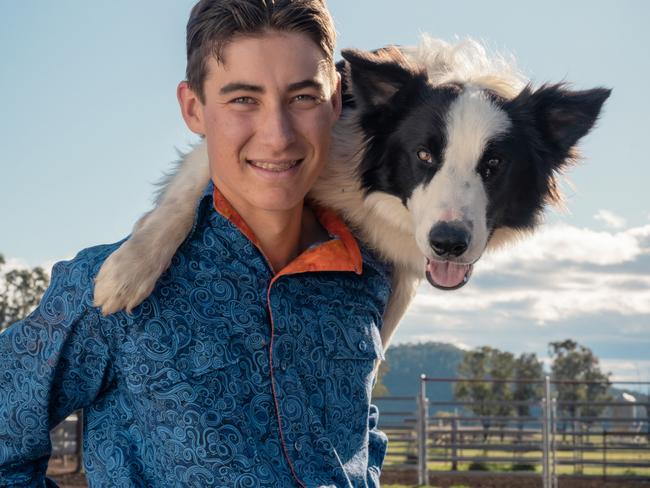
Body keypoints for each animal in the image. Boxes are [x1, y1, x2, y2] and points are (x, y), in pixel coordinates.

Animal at [93, 38, 612, 348]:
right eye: (424, 155)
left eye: (494, 165)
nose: (448, 243)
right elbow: (181, 202)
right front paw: (128, 271)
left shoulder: (405, 271)